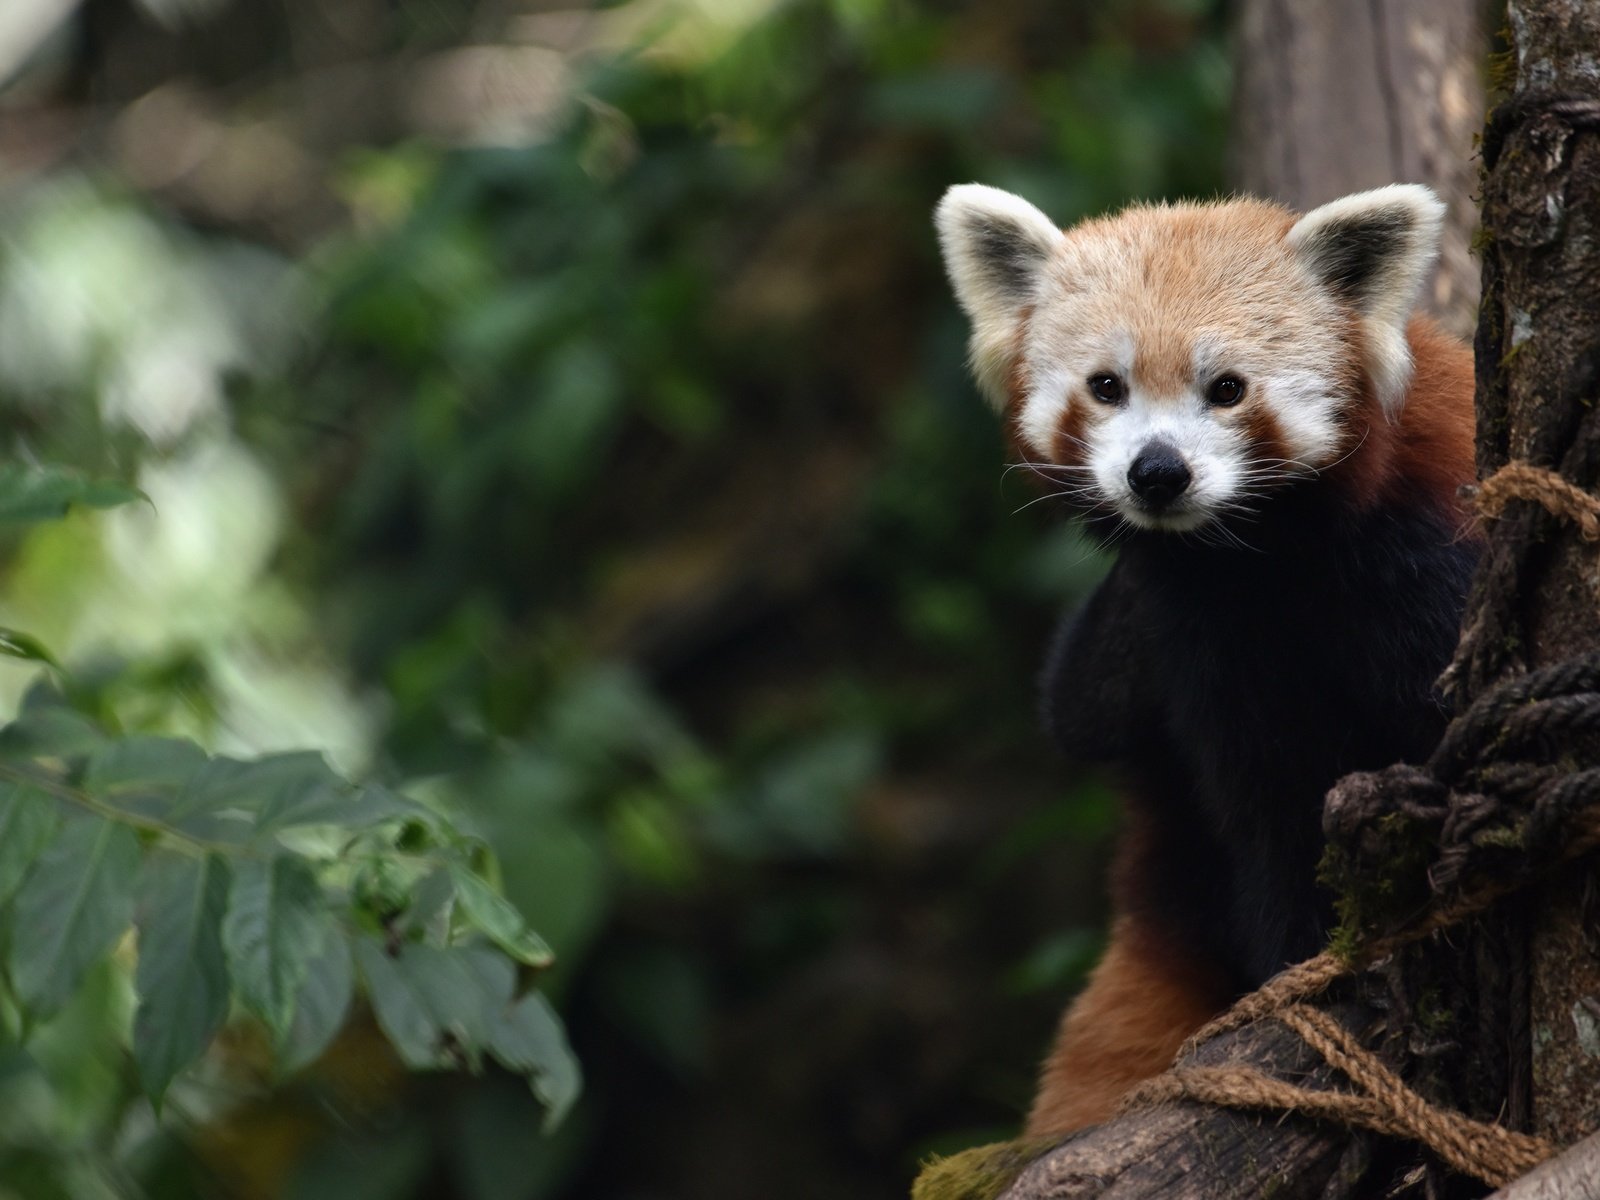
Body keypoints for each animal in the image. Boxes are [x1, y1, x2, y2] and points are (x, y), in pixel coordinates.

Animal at [934, 185, 1472, 1139]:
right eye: (1106, 387)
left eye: (1226, 390)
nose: (1157, 472)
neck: (1249, 564)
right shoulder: (1203, 647)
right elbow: (1264, 807)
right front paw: (1299, 959)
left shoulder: (1427, 549)